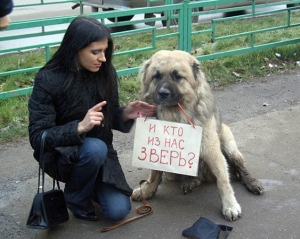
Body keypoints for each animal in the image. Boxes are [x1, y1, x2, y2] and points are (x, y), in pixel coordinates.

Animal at [132, 49, 264, 221]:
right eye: (156, 76)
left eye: (177, 76)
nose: (163, 93)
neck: (175, 116)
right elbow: (154, 173)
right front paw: (147, 190)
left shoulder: (211, 150)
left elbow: (223, 181)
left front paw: (230, 206)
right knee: (197, 177)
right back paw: (190, 182)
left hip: (228, 145)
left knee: (240, 167)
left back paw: (251, 182)